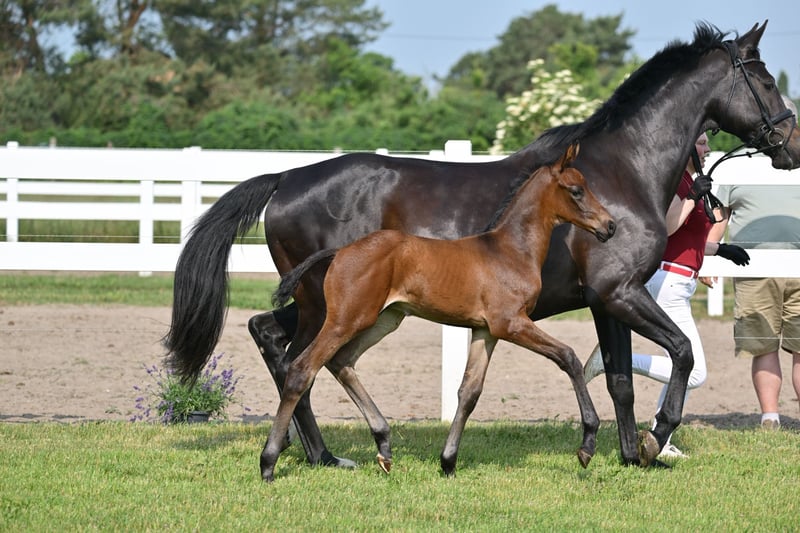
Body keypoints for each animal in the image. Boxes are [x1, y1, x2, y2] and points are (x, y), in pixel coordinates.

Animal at [260, 143, 616, 481]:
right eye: (576, 190)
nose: (610, 226)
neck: (509, 250)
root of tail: (339, 252)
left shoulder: (486, 331)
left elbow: (469, 392)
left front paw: (448, 462)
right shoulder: (511, 323)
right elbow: (569, 357)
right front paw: (587, 445)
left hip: (384, 319)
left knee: (341, 362)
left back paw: (384, 447)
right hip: (345, 319)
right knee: (302, 369)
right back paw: (268, 463)